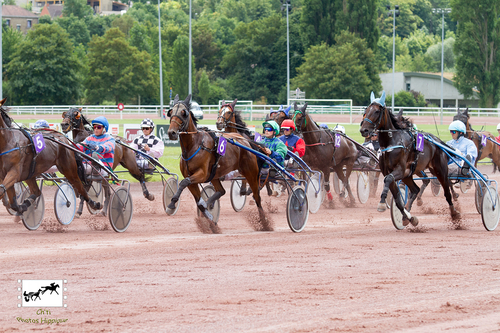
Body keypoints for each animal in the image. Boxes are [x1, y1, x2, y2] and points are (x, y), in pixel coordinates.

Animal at [167, 94, 270, 227]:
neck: (194, 145)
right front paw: (208, 215)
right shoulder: (192, 176)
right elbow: (196, 197)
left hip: (250, 173)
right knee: (221, 191)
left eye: (183, 113)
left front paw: (171, 204)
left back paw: (264, 222)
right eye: (170, 112)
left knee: (257, 197)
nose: (172, 133)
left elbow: (184, 182)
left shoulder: (202, 174)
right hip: (215, 175)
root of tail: (245, 141)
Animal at [360, 94, 460, 224]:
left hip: (440, 170)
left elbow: (388, 179)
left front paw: (382, 203)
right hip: (409, 175)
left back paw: (454, 213)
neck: (391, 142)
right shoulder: (391, 172)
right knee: (415, 189)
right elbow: (397, 199)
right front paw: (408, 217)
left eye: (377, 111)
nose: (364, 130)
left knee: (447, 191)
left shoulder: (399, 170)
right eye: (366, 111)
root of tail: (437, 140)